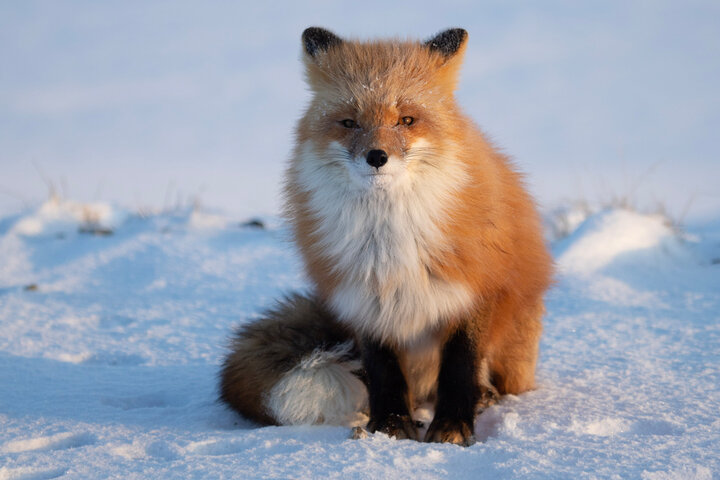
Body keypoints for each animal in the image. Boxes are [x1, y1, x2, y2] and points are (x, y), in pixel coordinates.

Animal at [220, 27, 553, 446]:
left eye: (406, 120)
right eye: (349, 122)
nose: (376, 156)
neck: (389, 240)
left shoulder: (475, 288)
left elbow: (460, 367)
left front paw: (452, 427)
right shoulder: (365, 298)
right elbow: (383, 371)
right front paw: (391, 426)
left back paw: (485, 398)